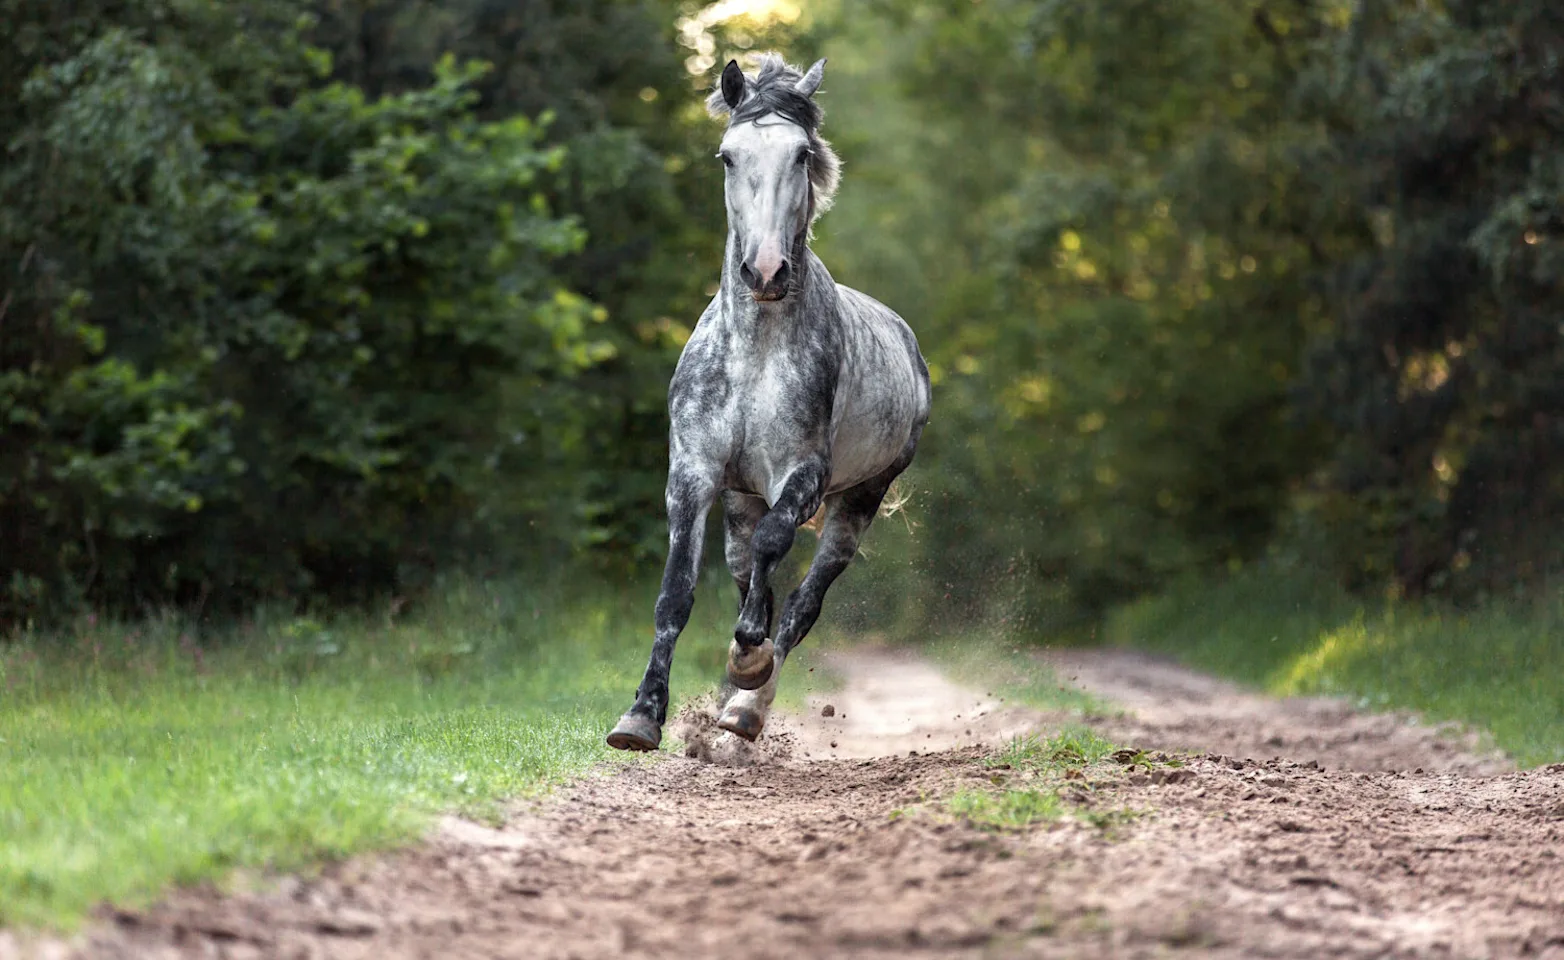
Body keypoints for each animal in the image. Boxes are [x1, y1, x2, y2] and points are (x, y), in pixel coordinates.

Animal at [606, 54, 931, 751]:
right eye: (728, 156)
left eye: (802, 154)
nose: (765, 271)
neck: (755, 350)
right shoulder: (693, 474)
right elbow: (676, 593)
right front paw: (641, 716)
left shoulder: (803, 476)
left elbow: (775, 550)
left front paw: (748, 664)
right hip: (740, 497)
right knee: (744, 571)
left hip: (860, 498)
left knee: (803, 598)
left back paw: (748, 706)